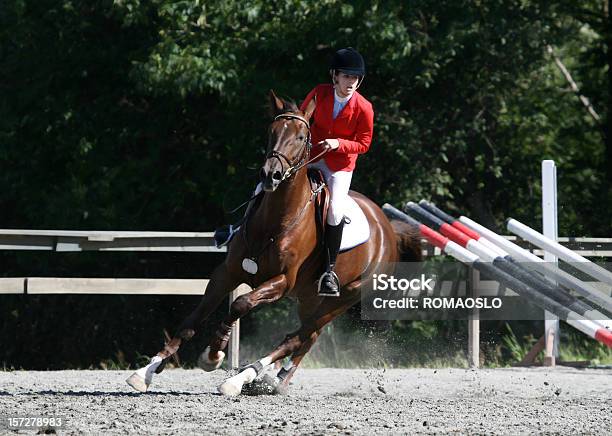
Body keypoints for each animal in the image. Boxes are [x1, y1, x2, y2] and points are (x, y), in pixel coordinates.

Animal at [124, 88, 420, 396]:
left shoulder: (281, 282)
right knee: (309, 336)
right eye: (271, 132)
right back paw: (276, 380)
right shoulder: (227, 273)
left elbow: (240, 304)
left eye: (301, 137)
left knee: (297, 336)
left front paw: (213, 355)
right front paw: (146, 371)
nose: (271, 175)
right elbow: (192, 321)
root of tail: (386, 227)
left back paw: (243, 378)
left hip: (345, 296)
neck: (275, 219)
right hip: (309, 297)